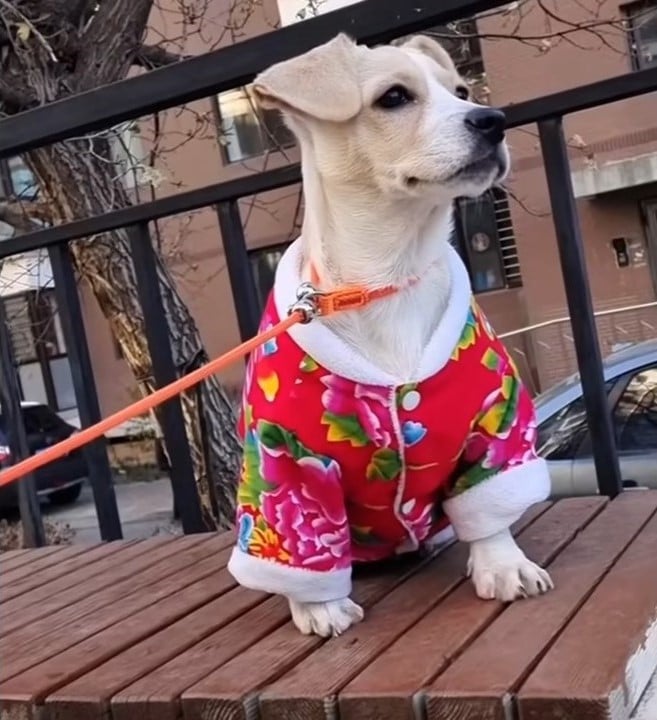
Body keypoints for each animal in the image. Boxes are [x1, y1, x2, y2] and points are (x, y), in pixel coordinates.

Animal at [227, 32, 552, 636]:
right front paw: (319, 604)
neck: (388, 279)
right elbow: (300, 542)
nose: (492, 119)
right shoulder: (283, 461)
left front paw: (503, 564)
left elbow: (490, 505)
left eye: (461, 91)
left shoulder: (494, 422)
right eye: (395, 97)